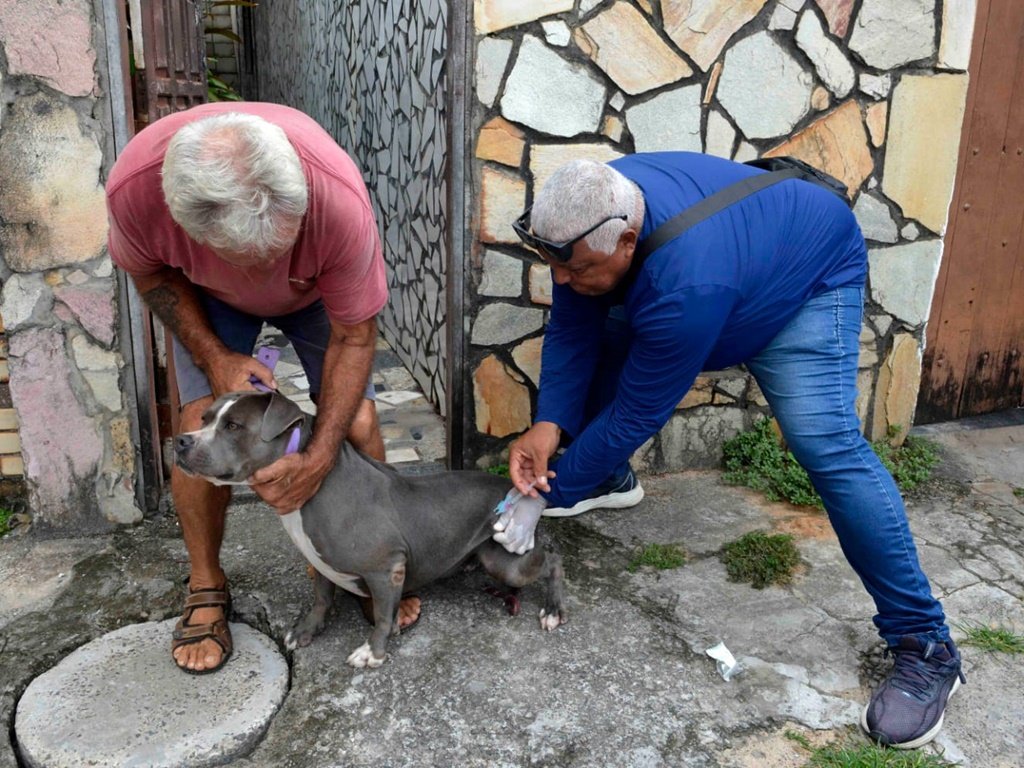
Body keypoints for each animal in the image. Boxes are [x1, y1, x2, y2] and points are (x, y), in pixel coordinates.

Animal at [175, 391, 569, 667]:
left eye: (233, 426)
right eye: (204, 417)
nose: (180, 440)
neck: (312, 487)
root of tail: (516, 491)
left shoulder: (385, 568)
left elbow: (381, 615)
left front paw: (373, 652)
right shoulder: (319, 559)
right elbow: (321, 598)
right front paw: (307, 630)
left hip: (509, 561)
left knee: (553, 560)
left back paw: (552, 610)